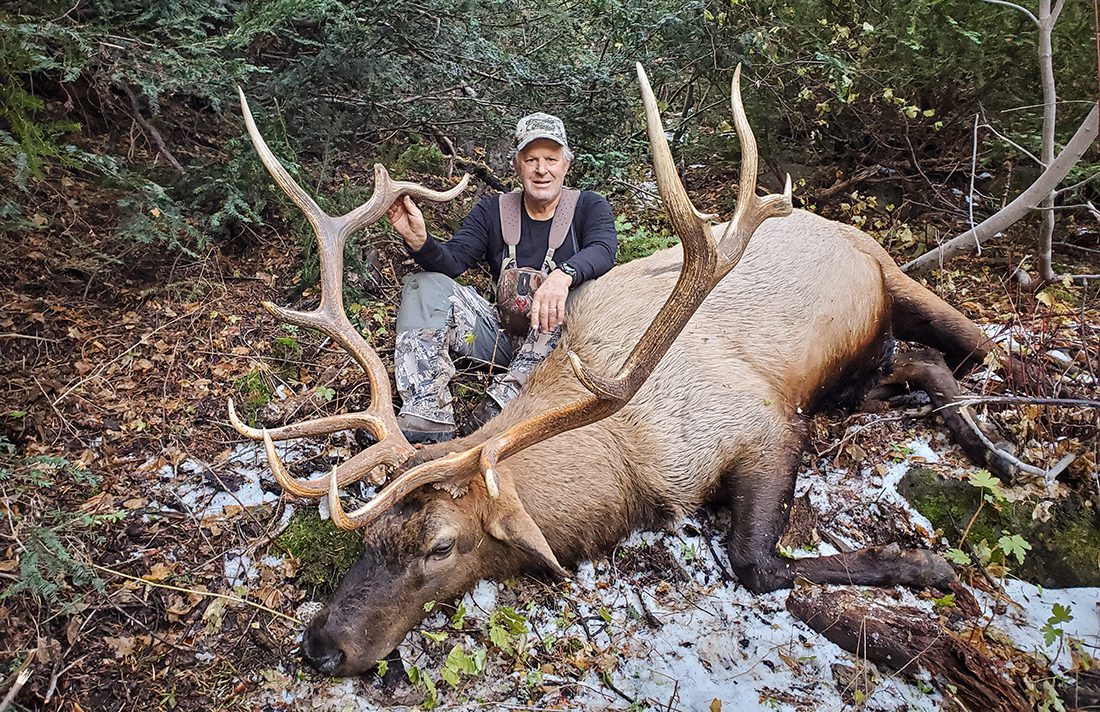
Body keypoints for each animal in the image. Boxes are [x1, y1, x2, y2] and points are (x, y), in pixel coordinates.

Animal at [227, 64, 1020, 677]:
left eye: (441, 545)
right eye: (371, 536)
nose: (320, 647)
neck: (626, 467)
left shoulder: (764, 424)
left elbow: (758, 563)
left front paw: (928, 568)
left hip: (897, 280)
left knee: (979, 349)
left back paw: (1005, 455)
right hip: (865, 366)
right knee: (918, 366)